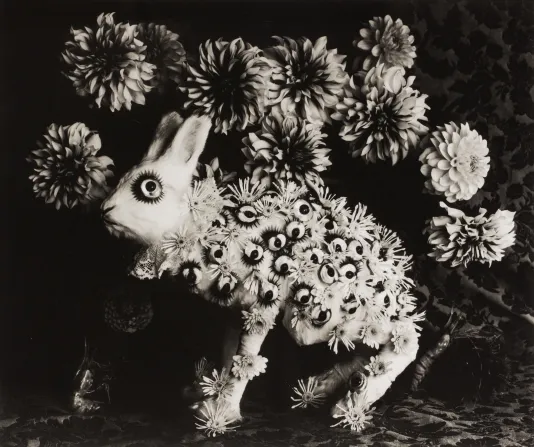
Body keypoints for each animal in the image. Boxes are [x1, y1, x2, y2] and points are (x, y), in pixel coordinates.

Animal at [102, 113, 426, 438]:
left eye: (149, 187)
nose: (105, 210)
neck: (199, 228)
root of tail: (397, 286)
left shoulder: (261, 308)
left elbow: (244, 360)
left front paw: (221, 413)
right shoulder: (237, 312)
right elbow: (228, 355)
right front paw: (206, 399)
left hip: (318, 318)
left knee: (405, 340)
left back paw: (351, 406)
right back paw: (323, 389)